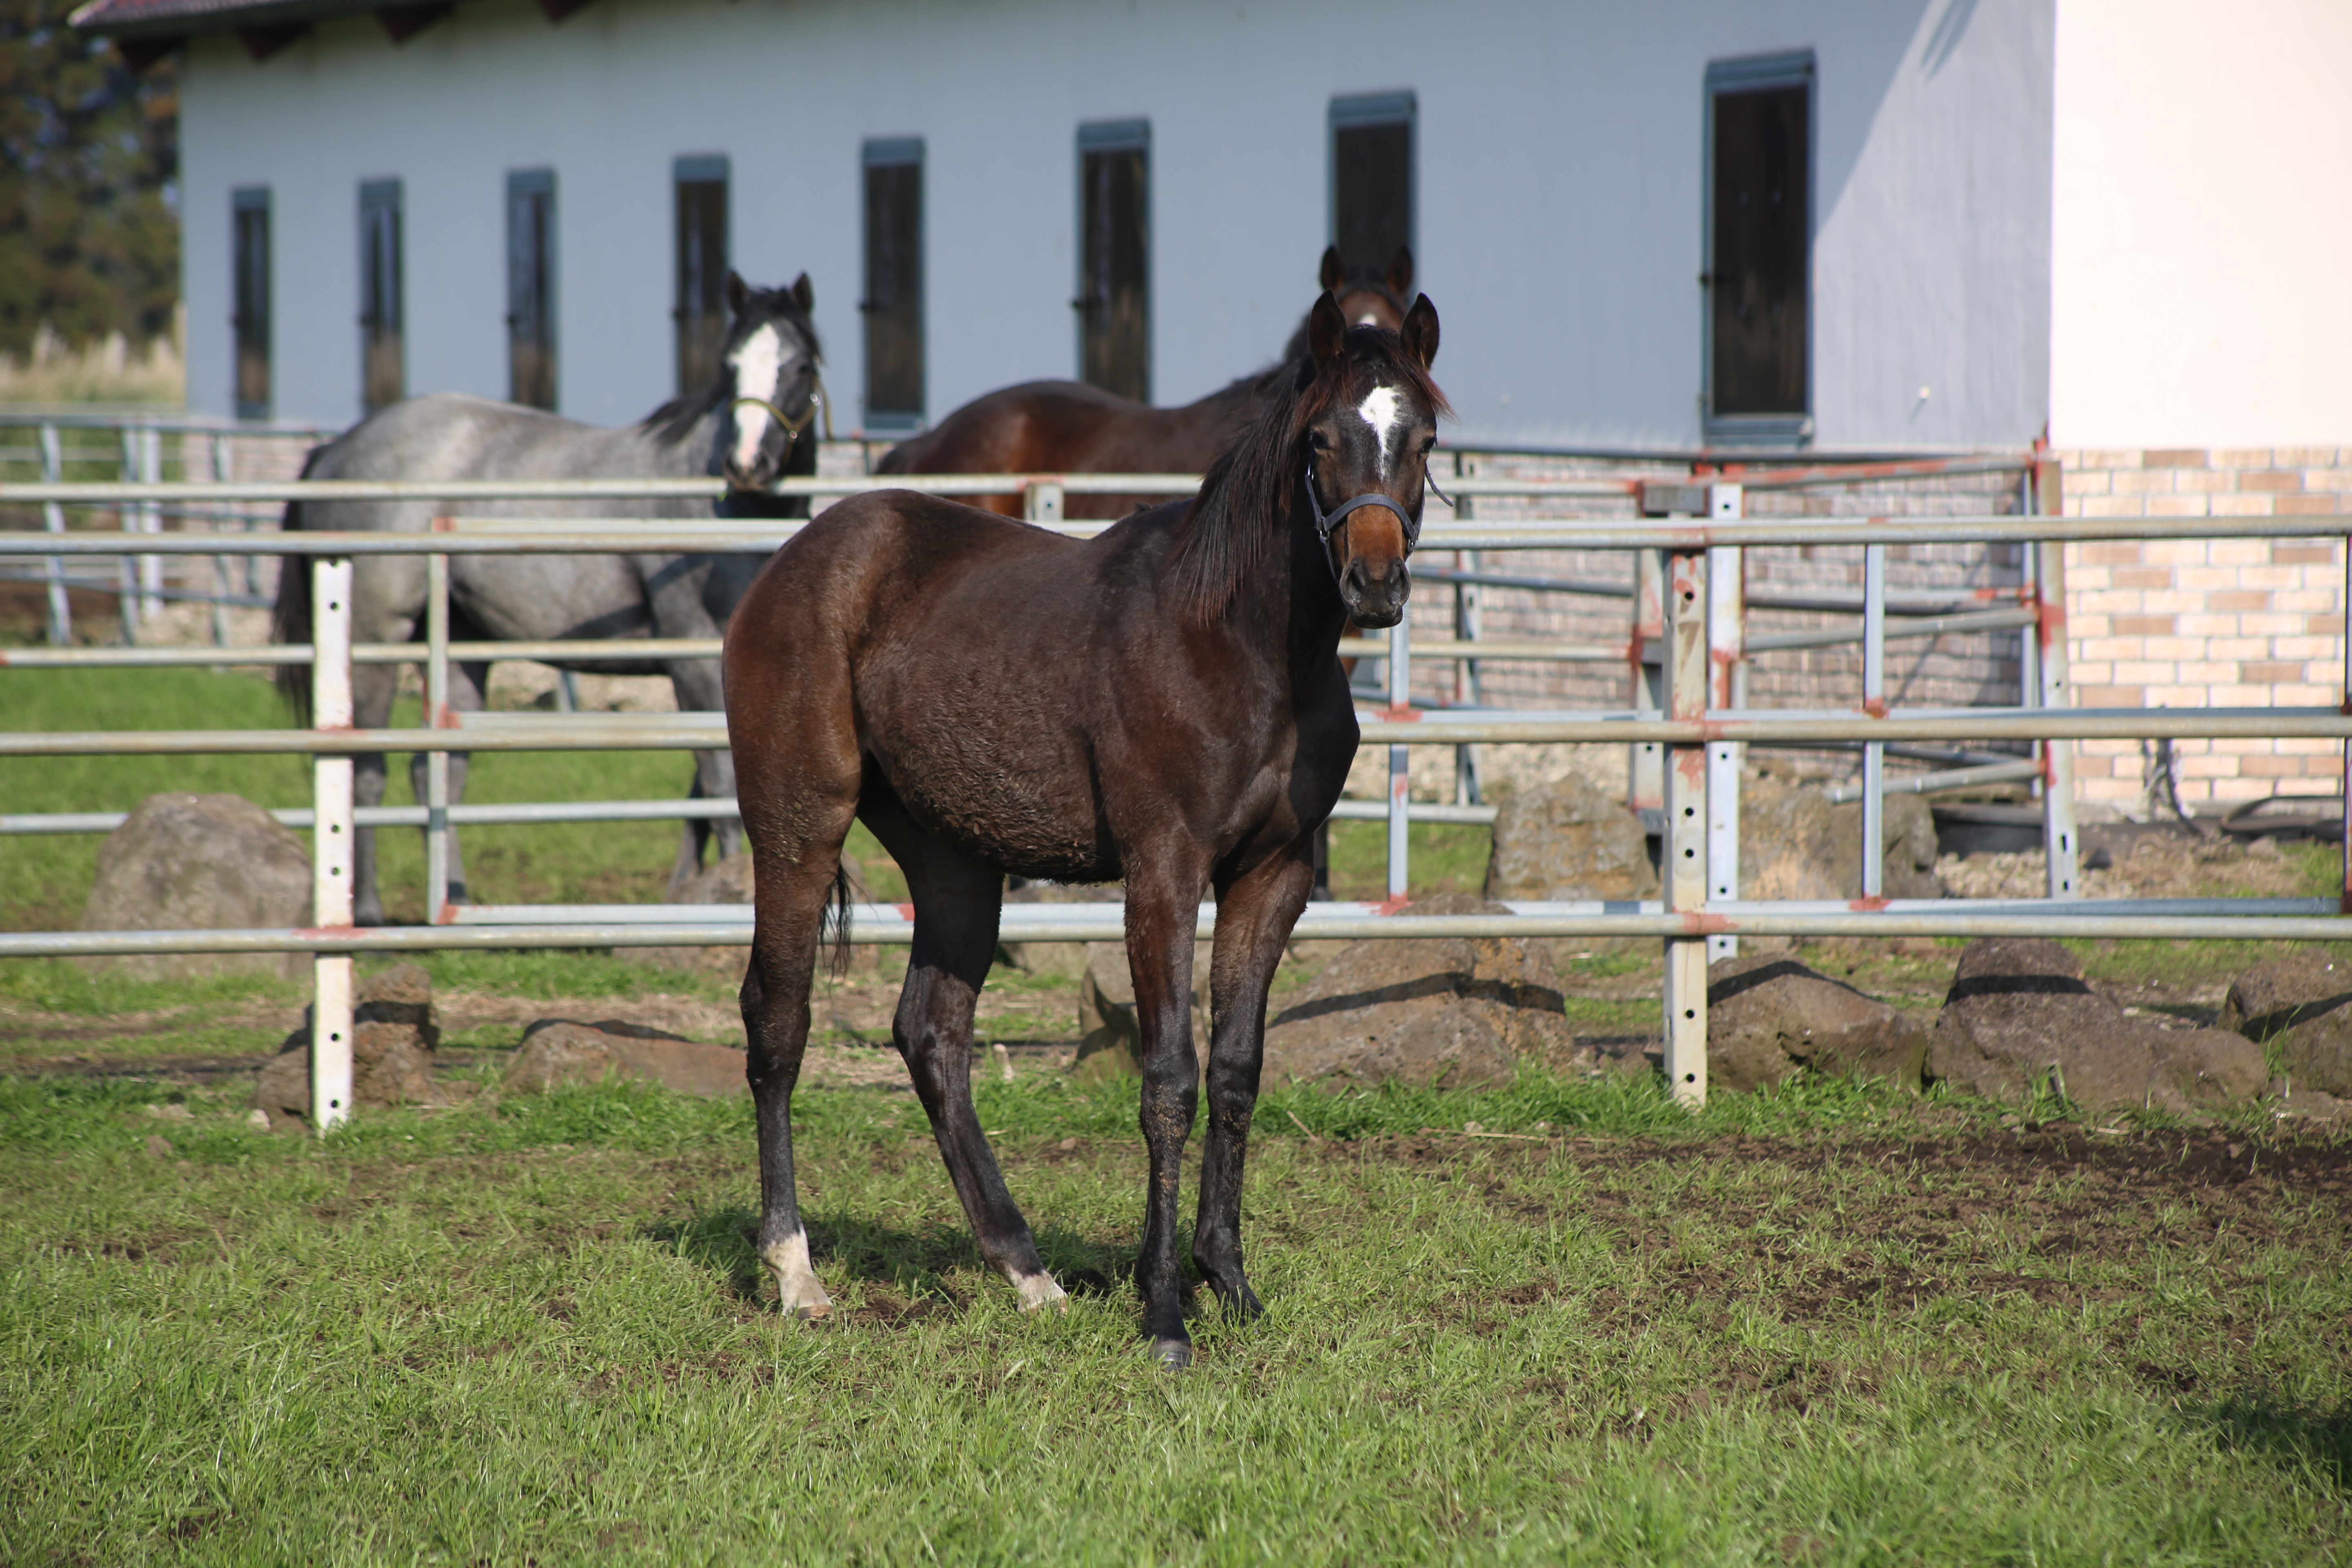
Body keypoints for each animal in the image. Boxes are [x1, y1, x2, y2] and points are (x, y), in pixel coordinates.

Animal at [272, 275, 828, 926]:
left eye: (800, 364)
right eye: (731, 365)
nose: (746, 465)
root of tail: (339, 448)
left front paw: (689, 891)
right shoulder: (690, 654)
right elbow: (718, 783)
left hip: (461, 646)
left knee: (438, 772)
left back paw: (458, 903)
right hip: (375, 641)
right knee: (368, 772)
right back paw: (371, 911)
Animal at [724, 288, 1439, 1363]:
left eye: (1423, 438)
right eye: (1319, 439)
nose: (1375, 582)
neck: (1239, 644)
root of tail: (797, 560)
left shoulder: (1271, 878)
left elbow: (1235, 1072)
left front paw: (1229, 1283)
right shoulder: (1163, 871)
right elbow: (1168, 1079)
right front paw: (1164, 1312)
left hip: (954, 861)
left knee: (933, 1036)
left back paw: (1028, 1274)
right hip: (797, 827)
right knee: (779, 1019)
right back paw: (795, 1272)